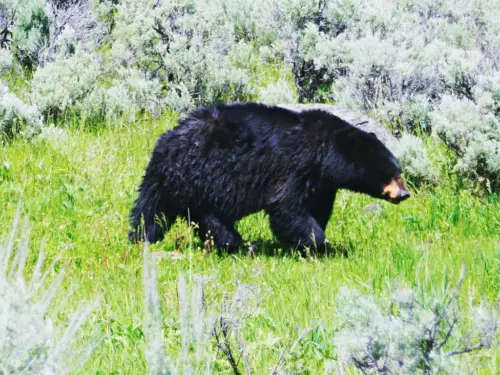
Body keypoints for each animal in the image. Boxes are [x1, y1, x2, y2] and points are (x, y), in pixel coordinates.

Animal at [129, 101, 410, 251]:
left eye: (399, 171)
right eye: (390, 173)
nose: (405, 193)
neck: (324, 152)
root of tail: (166, 143)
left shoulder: (321, 183)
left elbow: (317, 206)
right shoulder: (295, 167)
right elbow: (286, 208)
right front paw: (319, 244)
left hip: (173, 182)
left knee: (153, 212)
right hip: (206, 176)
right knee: (211, 218)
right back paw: (238, 245)